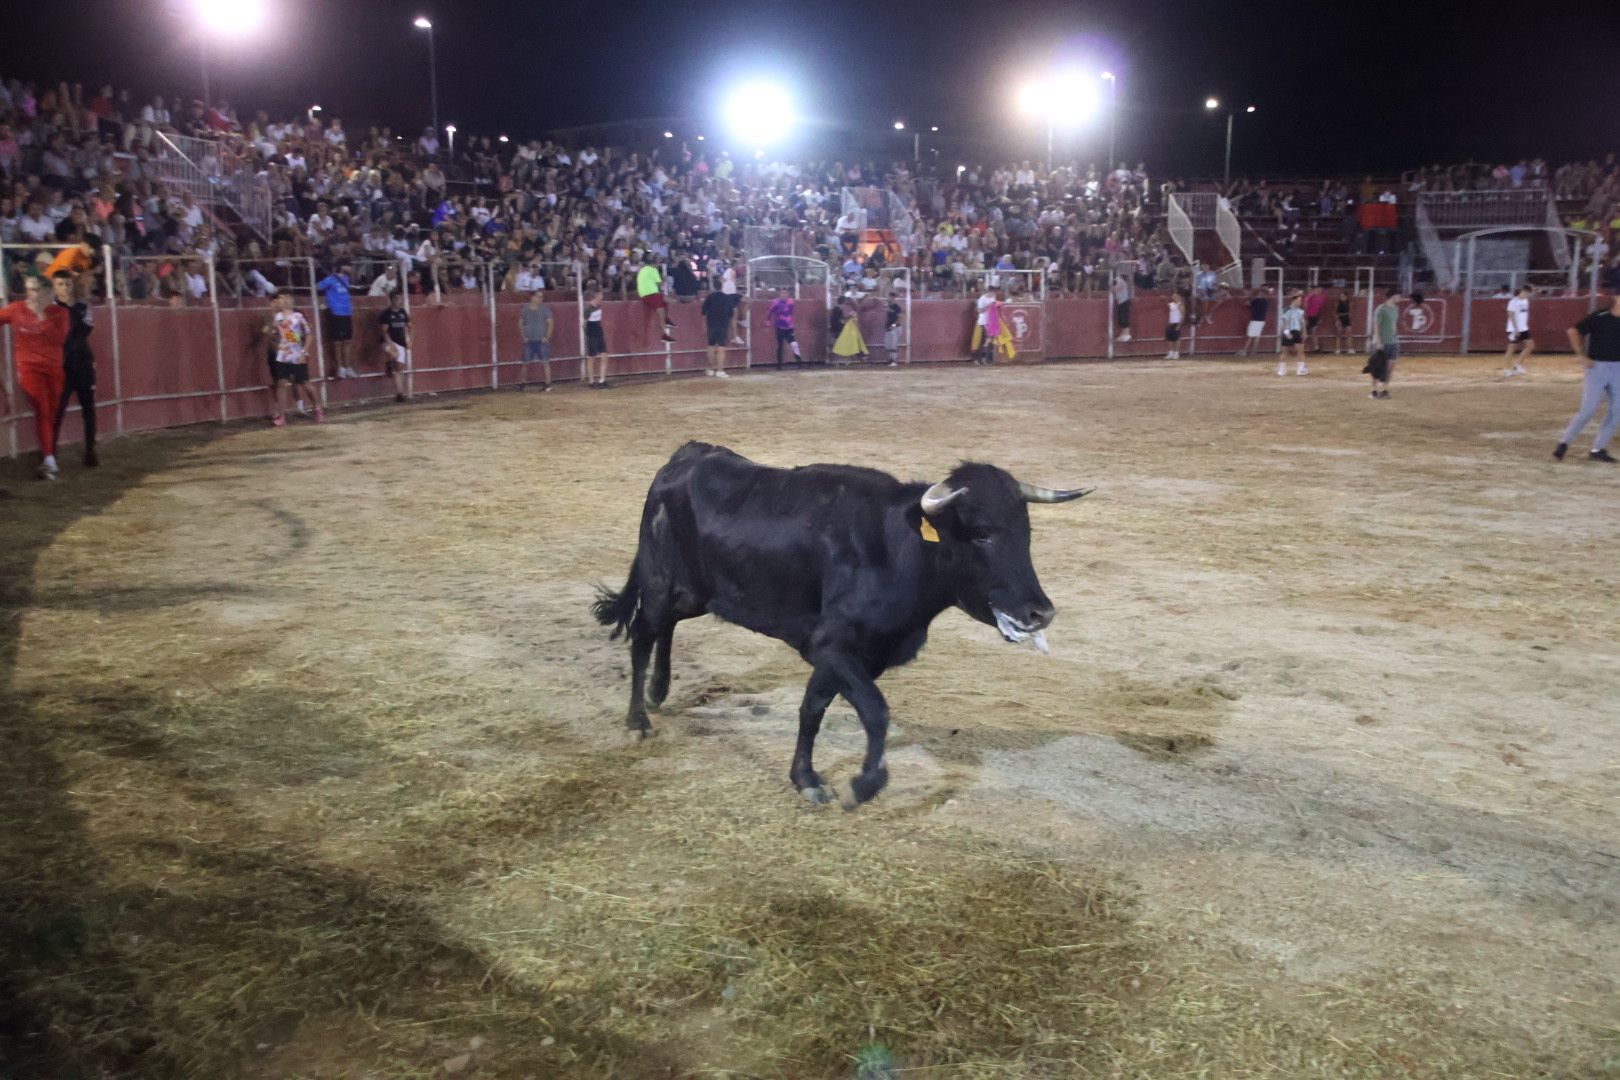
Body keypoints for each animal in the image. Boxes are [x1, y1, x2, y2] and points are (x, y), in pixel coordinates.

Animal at [596, 440, 1088, 803]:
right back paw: (638, 718)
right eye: (982, 534)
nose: (1040, 612)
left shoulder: (847, 656)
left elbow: (813, 708)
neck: (896, 549)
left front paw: (805, 778)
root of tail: (684, 457)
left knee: (668, 625)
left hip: (698, 593)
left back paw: (660, 691)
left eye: (1027, 532)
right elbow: (875, 710)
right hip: (659, 581)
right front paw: (864, 783)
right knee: (643, 632)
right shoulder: (832, 646)